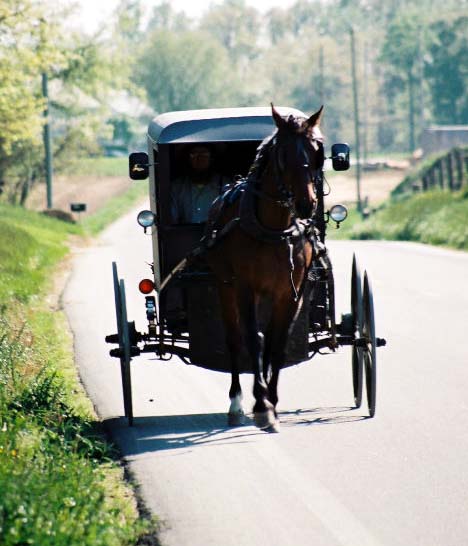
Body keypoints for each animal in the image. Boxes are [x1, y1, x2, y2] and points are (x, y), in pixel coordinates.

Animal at [205, 104, 326, 432]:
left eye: (317, 151)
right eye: (283, 154)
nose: (307, 204)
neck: (275, 228)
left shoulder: (290, 292)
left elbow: (278, 344)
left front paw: (272, 401)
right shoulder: (246, 287)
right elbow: (253, 340)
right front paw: (260, 404)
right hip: (225, 285)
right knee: (236, 338)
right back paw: (236, 403)